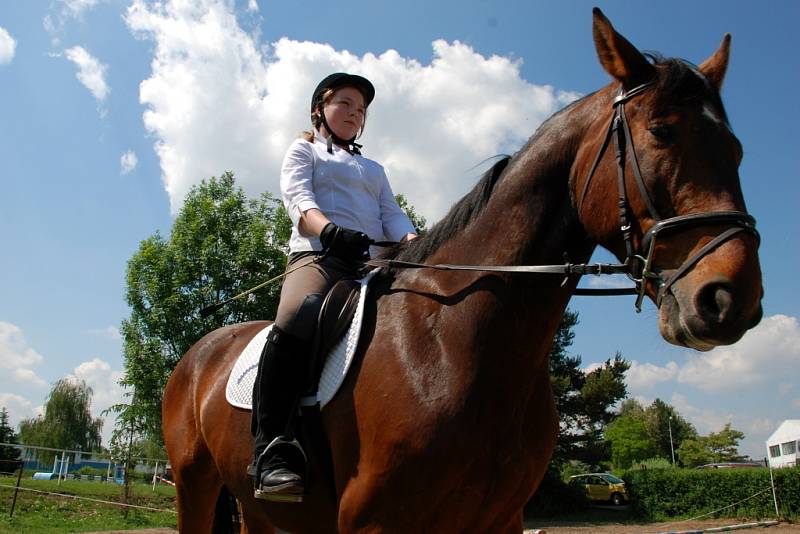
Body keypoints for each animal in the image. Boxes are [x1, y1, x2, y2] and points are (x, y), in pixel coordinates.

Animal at [161, 9, 764, 534]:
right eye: (661, 131)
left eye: (736, 149)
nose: (731, 298)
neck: (454, 338)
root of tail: (198, 352)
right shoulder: (375, 521)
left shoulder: (501, 518)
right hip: (195, 486)